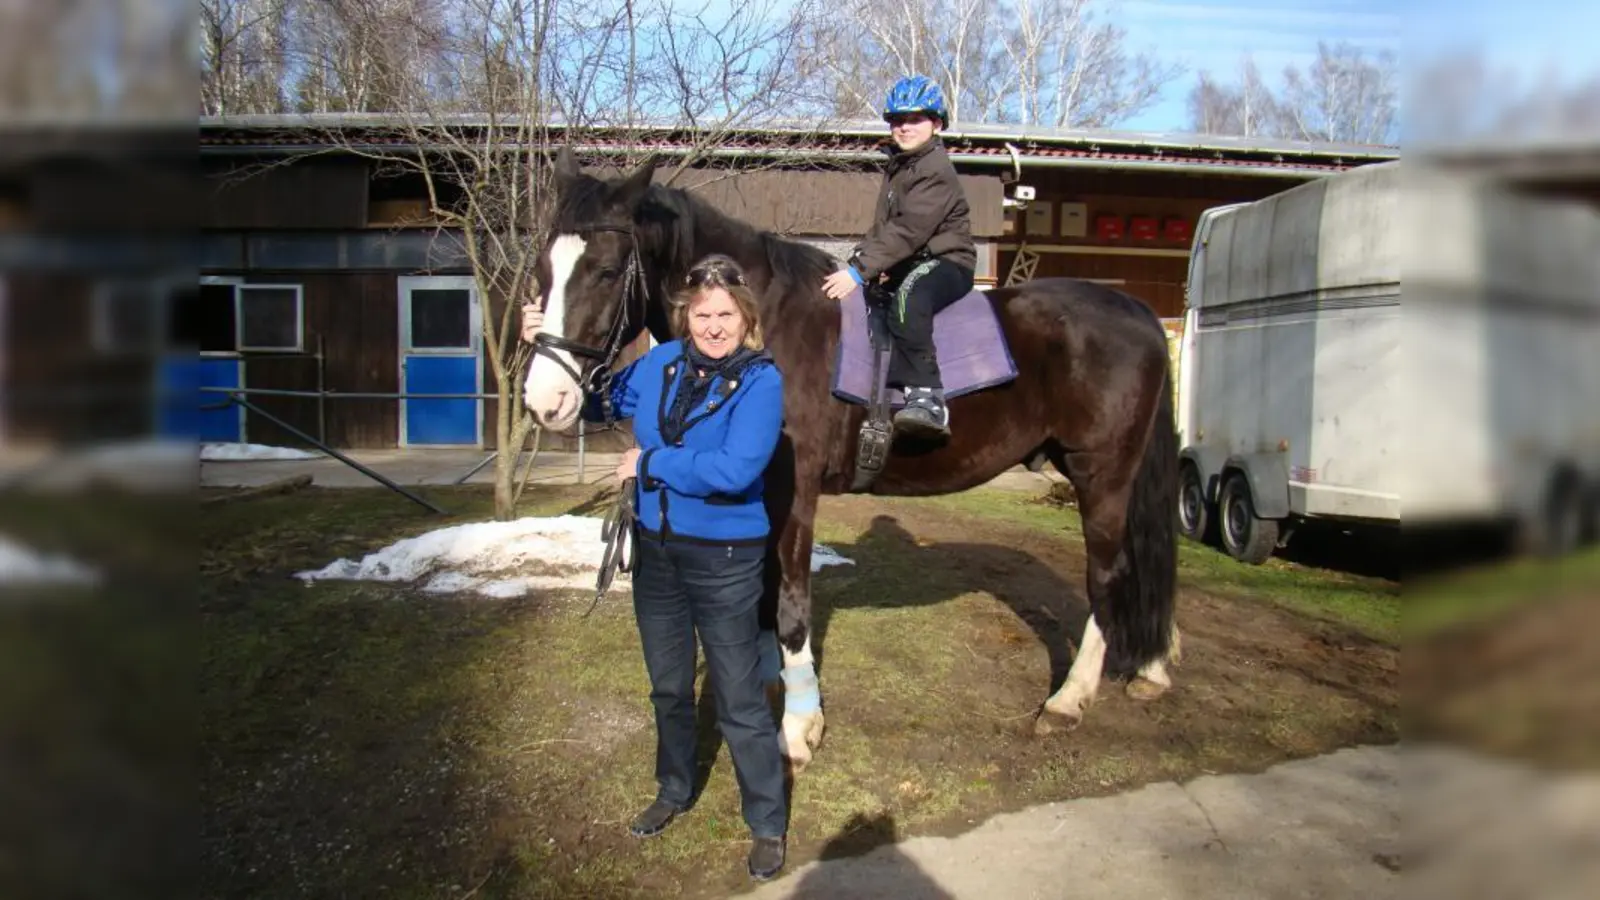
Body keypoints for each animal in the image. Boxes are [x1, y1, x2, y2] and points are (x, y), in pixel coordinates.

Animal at [523, 148, 1181, 772]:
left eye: (607, 271)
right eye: (542, 272)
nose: (544, 400)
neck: (763, 322)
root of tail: (1139, 314)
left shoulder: (794, 491)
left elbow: (790, 604)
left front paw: (797, 730)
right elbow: (763, 602)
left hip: (1101, 474)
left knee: (1109, 575)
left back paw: (1069, 700)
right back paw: (1151, 668)